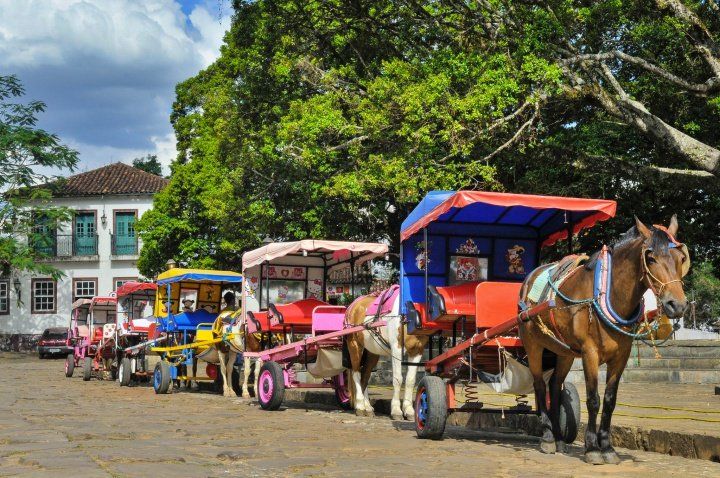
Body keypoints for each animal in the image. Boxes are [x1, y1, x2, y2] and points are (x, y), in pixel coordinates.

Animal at [516, 217, 688, 464]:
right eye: (651, 257)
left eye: (681, 258)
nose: (678, 305)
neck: (610, 293)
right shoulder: (589, 352)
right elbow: (593, 399)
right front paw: (592, 448)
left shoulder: (621, 356)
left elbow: (609, 400)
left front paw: (607, 447)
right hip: (533, 345)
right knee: (540, 385)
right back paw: (548, 438)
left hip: (564, 351)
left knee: (555, 387)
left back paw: (559, 439)